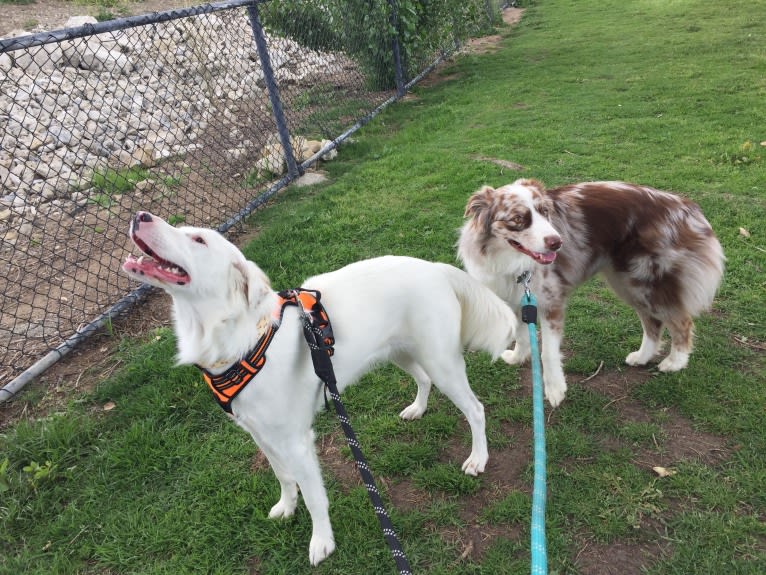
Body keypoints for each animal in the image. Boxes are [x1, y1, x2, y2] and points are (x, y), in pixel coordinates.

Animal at [123, 210, 520, 564]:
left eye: (198, 240)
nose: (140, 215)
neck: (245, 342)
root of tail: (434, 267)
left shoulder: (297, 442)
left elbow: (315, 497)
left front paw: (322, 542)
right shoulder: (260, 434)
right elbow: (283, 477)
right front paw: (286, 507)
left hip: (442, 362)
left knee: (475, 409)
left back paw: (478, 458)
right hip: (402, 353)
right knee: (422, 380)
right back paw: (417, 409)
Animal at [460, 178, 728, 408]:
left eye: (545, 212)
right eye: (518, 218)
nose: (557, 242)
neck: (511, 260)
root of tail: (685, 205)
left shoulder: (550, 301)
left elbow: (548, 353)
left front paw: (555, 390)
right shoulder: (516, 298)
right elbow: (522, 335)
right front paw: (518, 357)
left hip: (645, 281)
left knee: (681, 322)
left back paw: (675, 362)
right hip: (626, 282)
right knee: (653, 322)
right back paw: (642, 357)